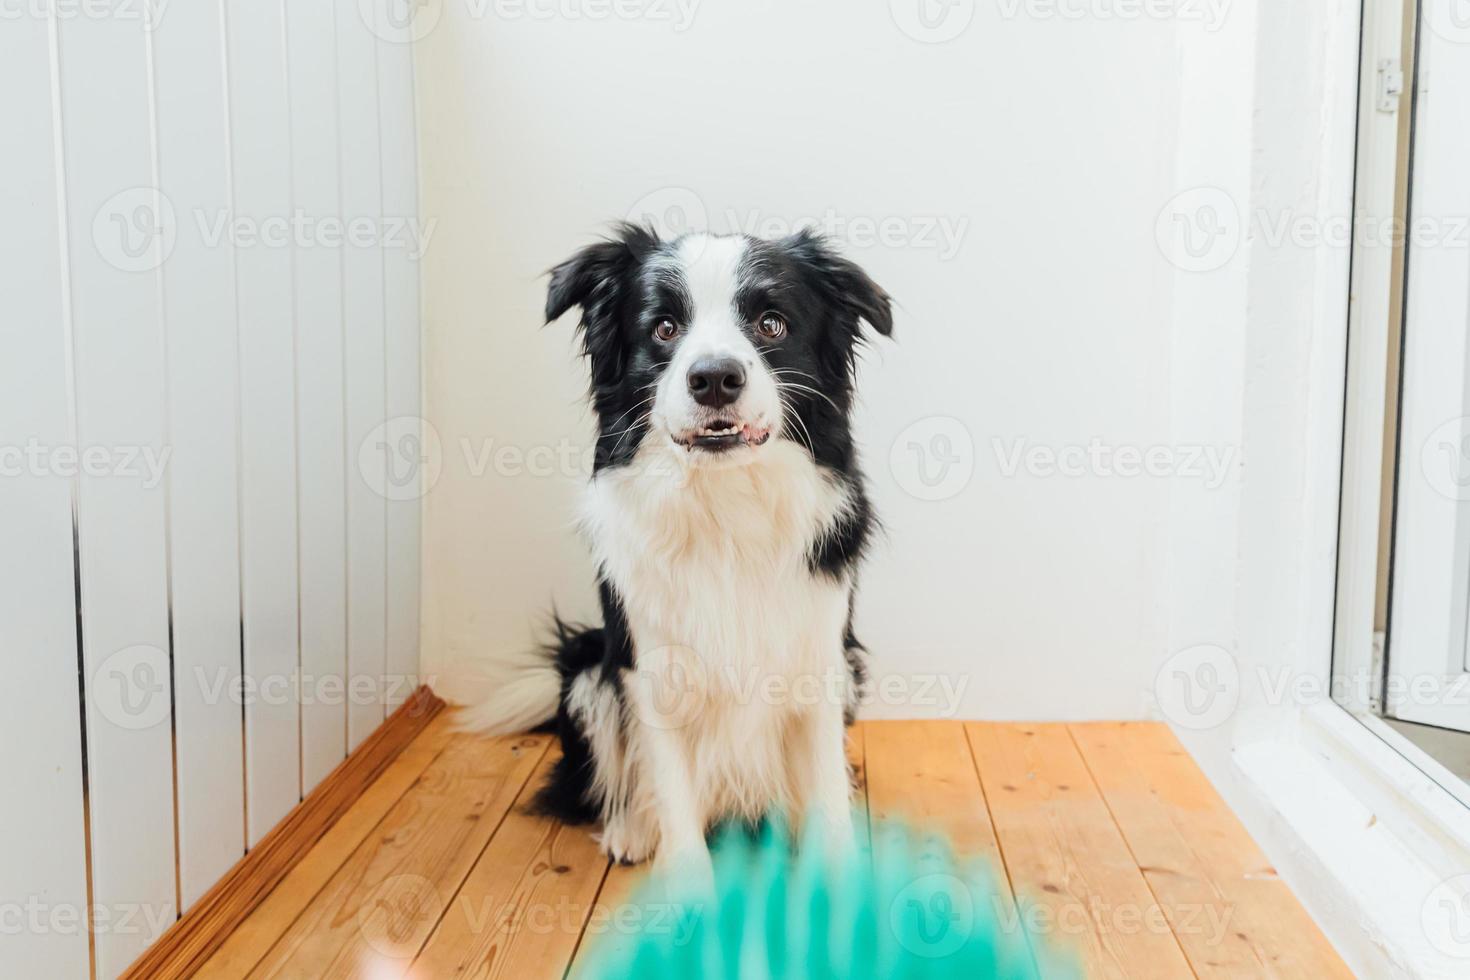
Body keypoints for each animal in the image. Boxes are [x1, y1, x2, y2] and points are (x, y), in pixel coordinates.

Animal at [464, 224, 887, 875]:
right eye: (663, 328)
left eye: (771, 324)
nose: (714, 378)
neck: (725, 506)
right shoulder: (649, 671)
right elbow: (673, 802)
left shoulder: (820, 659)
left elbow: (827, 794)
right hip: (590, 670)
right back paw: (631, 830)